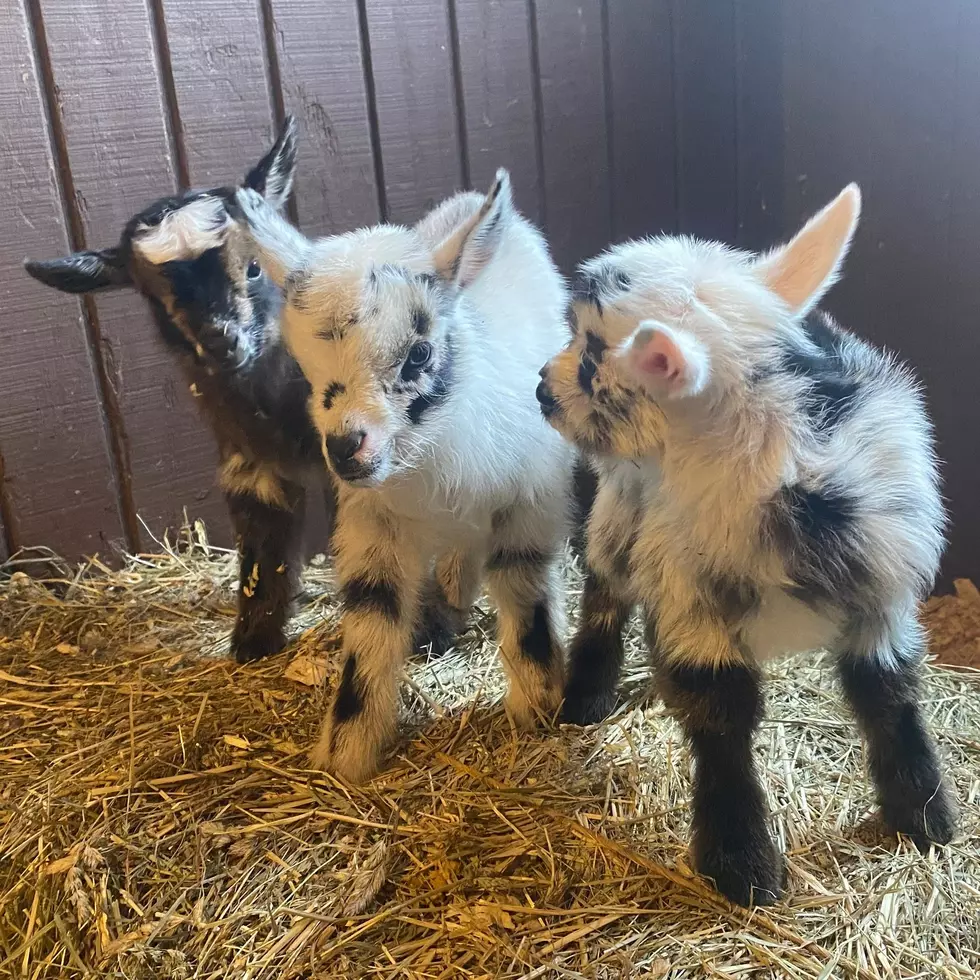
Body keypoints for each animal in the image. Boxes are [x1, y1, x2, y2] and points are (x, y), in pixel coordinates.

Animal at [234, 170, 580, 780]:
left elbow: (527, 598)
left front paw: (538, 709)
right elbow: (373, 616)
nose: (346, 447)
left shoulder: (528, 506)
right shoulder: (374, 523)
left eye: (419, 354)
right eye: (304, 366)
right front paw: (346, 756)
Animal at [536, 188, 956, 908]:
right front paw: (741, 863)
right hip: (623, 507)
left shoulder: (881, 598)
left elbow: (890, 695)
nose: (540, 387)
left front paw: (923, 813)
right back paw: (584, 697)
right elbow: (720, 720)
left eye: (593, 351)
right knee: (605, 585)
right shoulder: (691, 605)